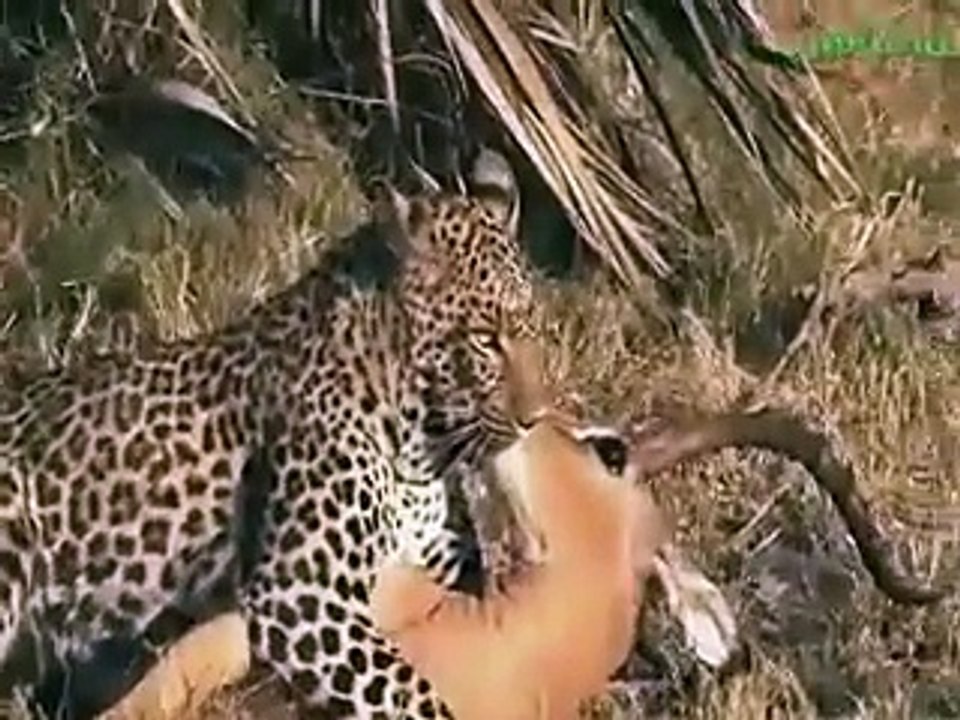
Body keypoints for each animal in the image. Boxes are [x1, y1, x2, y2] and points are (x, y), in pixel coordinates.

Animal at [0, 148, 539, 719]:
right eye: (485, 340)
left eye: (531, 324)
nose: (536, 417)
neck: (418, 437)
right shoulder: (300, 592)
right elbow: (409, 690)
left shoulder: (425, 549)